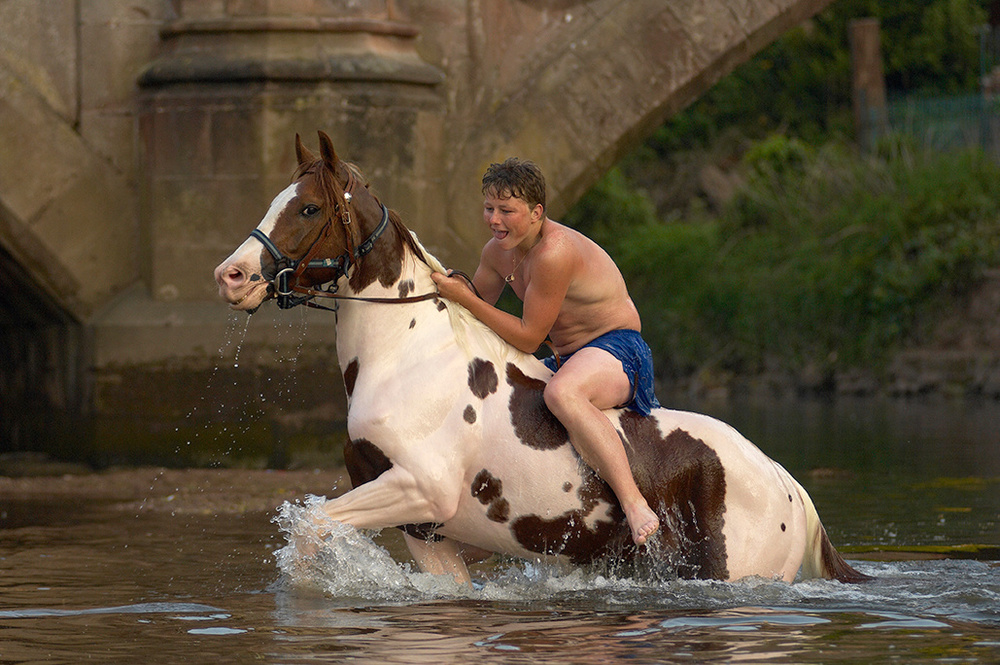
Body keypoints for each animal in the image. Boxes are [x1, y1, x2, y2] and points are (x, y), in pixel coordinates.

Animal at [214, 131, 871, 585]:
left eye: (308, 209)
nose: (232, 275)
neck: (407, 359)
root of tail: (788, 483)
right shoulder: (426, 529)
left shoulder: (420, 489)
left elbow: (308, 527)